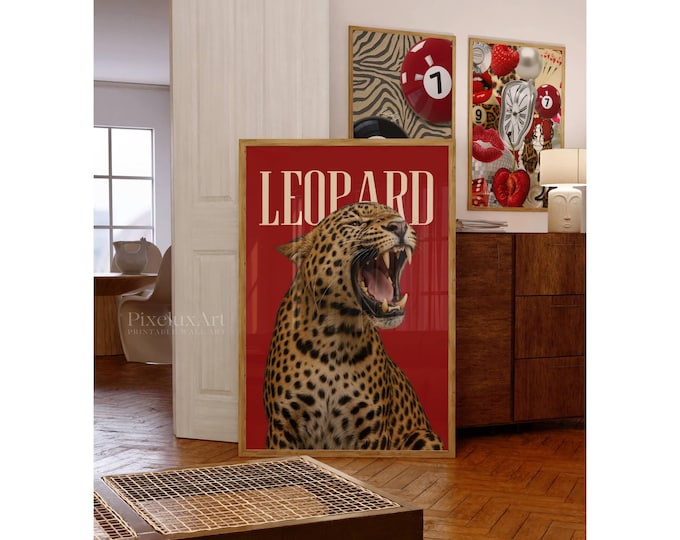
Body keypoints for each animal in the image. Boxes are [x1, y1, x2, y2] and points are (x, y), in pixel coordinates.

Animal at [263, 201, 443, 451]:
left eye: (399, 216)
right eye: (356, 223)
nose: (400, 226)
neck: (333, 337)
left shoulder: (373, 431)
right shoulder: (282, 426)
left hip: (424, 436)